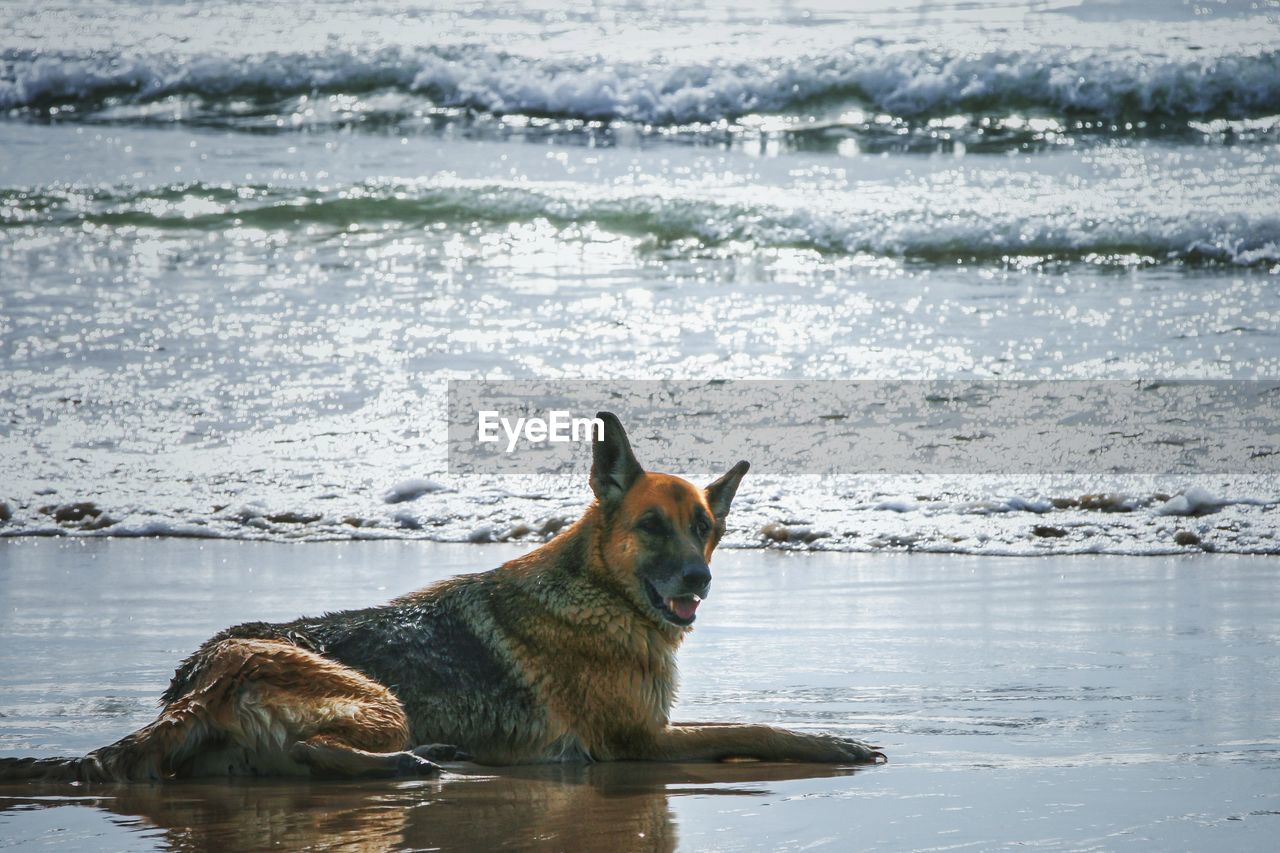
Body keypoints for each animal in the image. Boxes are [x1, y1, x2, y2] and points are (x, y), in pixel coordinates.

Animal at [0, 412, 880, 778]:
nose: (699, 579)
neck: (596, 589)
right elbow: (753, 727)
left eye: (704, 528)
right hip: (377, 696)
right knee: (311, 752)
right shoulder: (638, 743)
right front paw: (831, 742)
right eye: (653, 526)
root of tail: (201, 677)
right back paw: (418, 762)